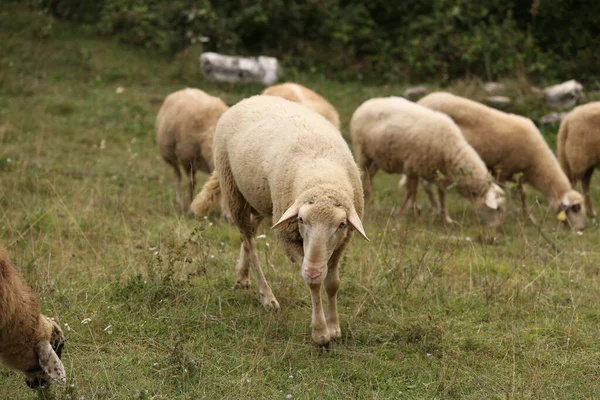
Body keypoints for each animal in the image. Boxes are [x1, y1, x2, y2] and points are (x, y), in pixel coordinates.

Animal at [192, 94, 370, 346]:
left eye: (341, 224)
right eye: (301, 220)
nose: (314, 269)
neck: (321, 173)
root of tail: (251, 98)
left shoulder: (341, 243)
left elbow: (333, 283)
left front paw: (335, 328)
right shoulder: (287, 237)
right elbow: (314, 284)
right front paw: (320, 333)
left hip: (259, 198)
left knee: (251, 234)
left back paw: (242, 276)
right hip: (234, 190)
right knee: (249, 242)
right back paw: (267, 296)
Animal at [352, 97, 506, 227]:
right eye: (497, 209)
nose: (497, 228)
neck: (451, 149)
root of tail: (367, 103)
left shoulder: (437, 173)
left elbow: (441, 195)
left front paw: (446, 219)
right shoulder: (412, 167)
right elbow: (411, 192)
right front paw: (402, 214)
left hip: (376, 159)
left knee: (369, 178)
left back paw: (372, 202)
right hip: (364, 154)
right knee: (365, 179)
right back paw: (371, 203)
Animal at [418, 90, 584, 228]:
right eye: (576, 209)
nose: (581, 230)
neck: (537, 166)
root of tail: (423, 101)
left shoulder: (515, 174)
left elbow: (522, 195)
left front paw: (528, 218)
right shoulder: (501, 170)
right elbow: (507, 193)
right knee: (426, 185)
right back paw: (436, 209)